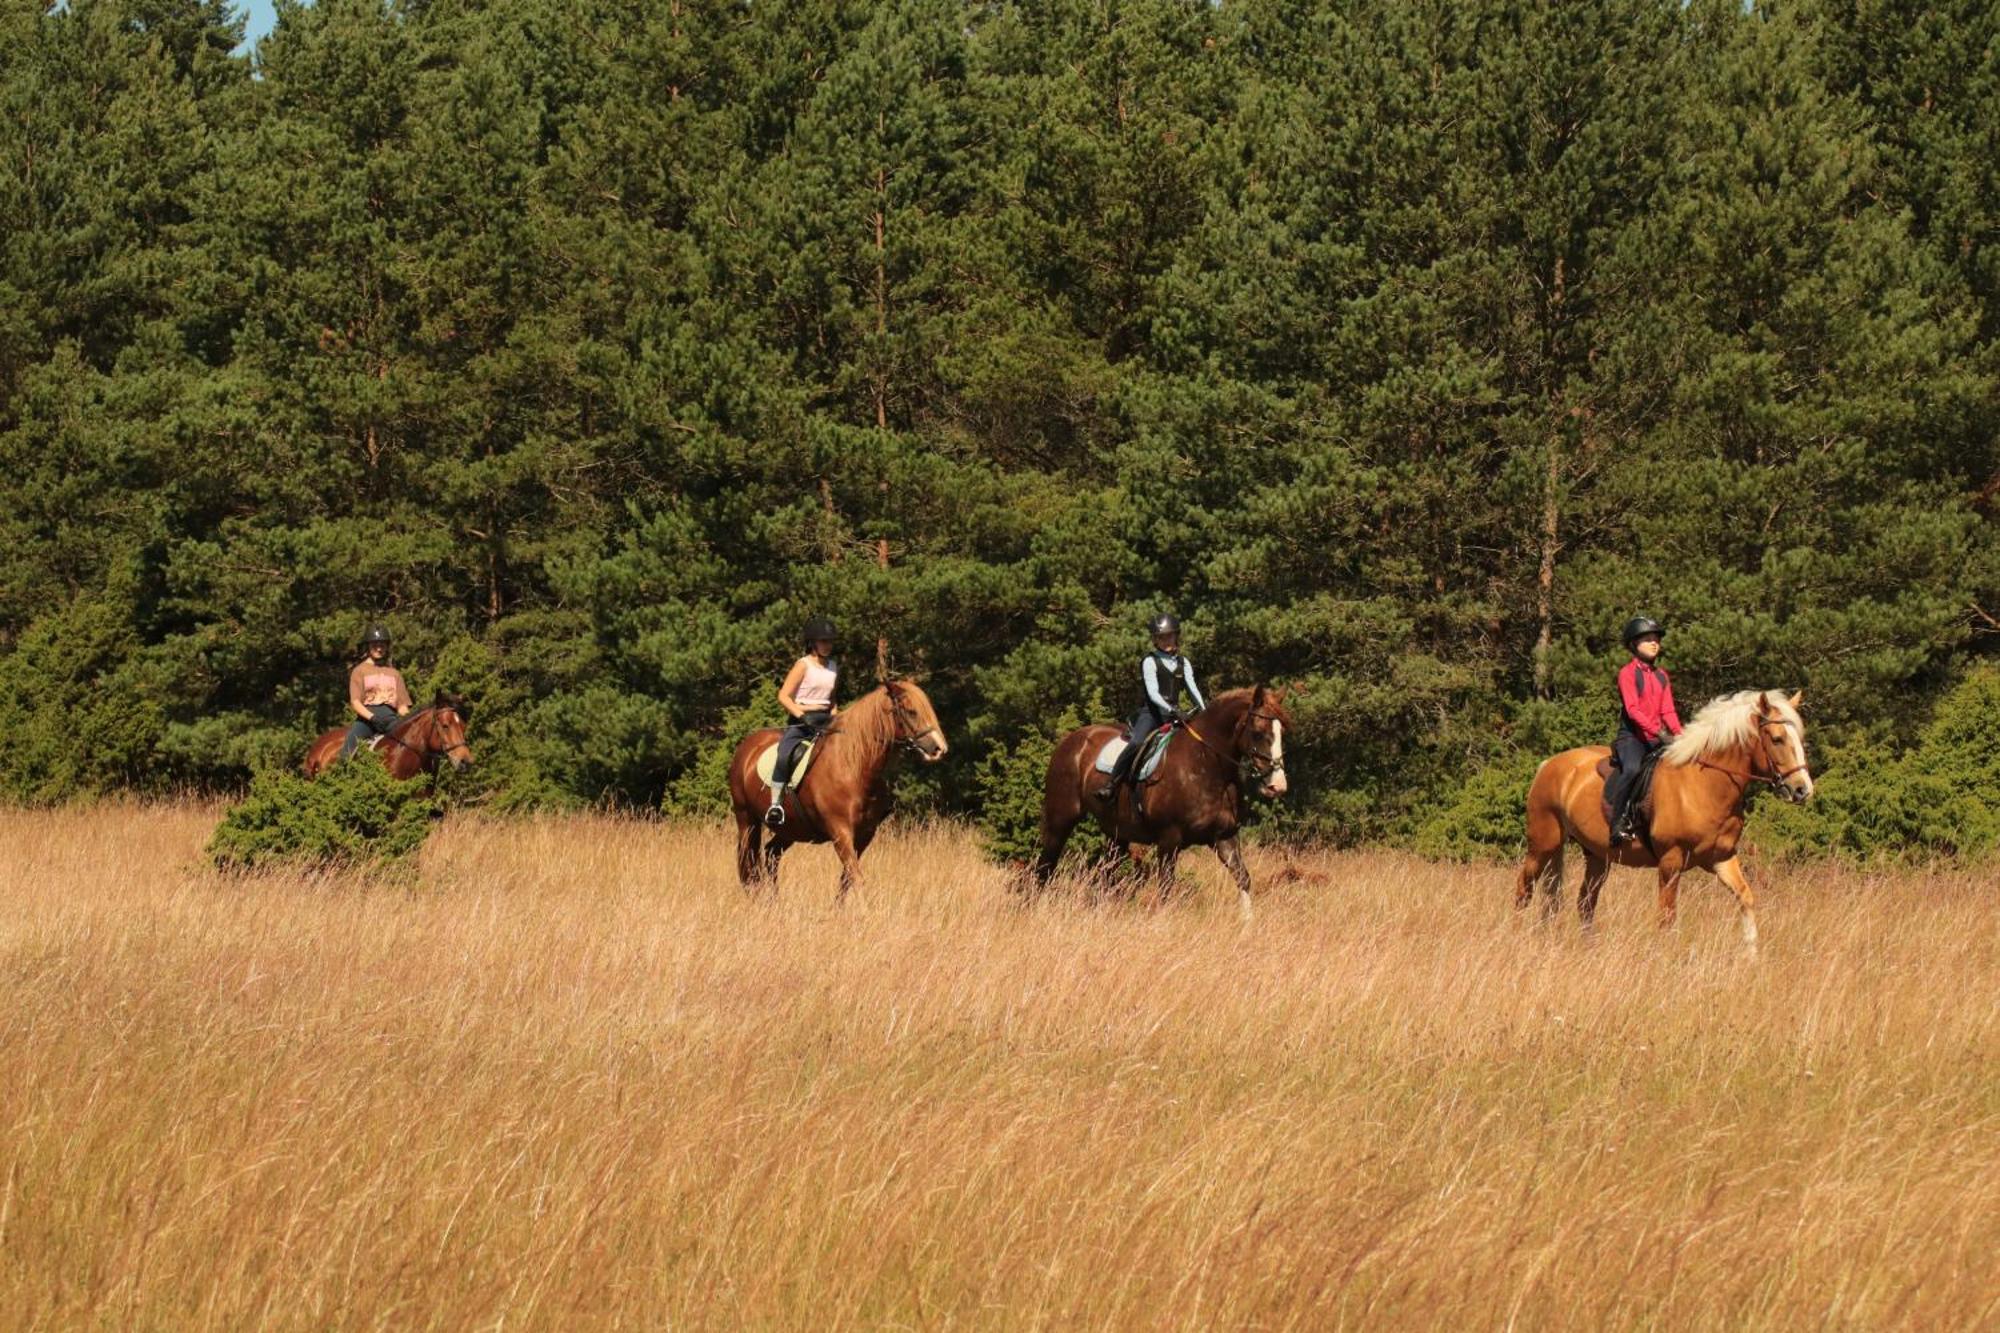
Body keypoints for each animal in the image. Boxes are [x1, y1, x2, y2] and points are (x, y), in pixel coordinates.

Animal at [732, 680, 948, 896]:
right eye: (911, 711)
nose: (940, 749)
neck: (853, 766)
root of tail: (747, 746)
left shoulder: (865, 834)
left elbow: (847, 880)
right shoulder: (840, 831)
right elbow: (857, 879)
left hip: (790, 828)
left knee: (771, 854)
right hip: (747, 820)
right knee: (749, 865)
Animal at [1032, 684, 1296, 912]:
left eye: (1282, 732)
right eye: (1258, 733)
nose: (1278, 786)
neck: (1205, 766)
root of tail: (1070, 740)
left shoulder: (1224, 837)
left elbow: (1243, 878)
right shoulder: (1169, 840)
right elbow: (1166, 888)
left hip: (1117, 834)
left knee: (1104, 876)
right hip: (1060, 821)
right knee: (1045, 868)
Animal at [1512, 684, 1816, 956]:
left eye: (1800, 740)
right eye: (1776, 739)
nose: (1803, 790)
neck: (1704, 784)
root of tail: (1549, 765)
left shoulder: (1722, 858)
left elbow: (1746, 897)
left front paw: (1751, 955)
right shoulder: (1671, 861)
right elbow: (1667, 917)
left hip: (1598, 856)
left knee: (1585, 902)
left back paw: (1589, 949)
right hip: (1543, 846)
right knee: (1524, 890)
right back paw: (1517, 938)